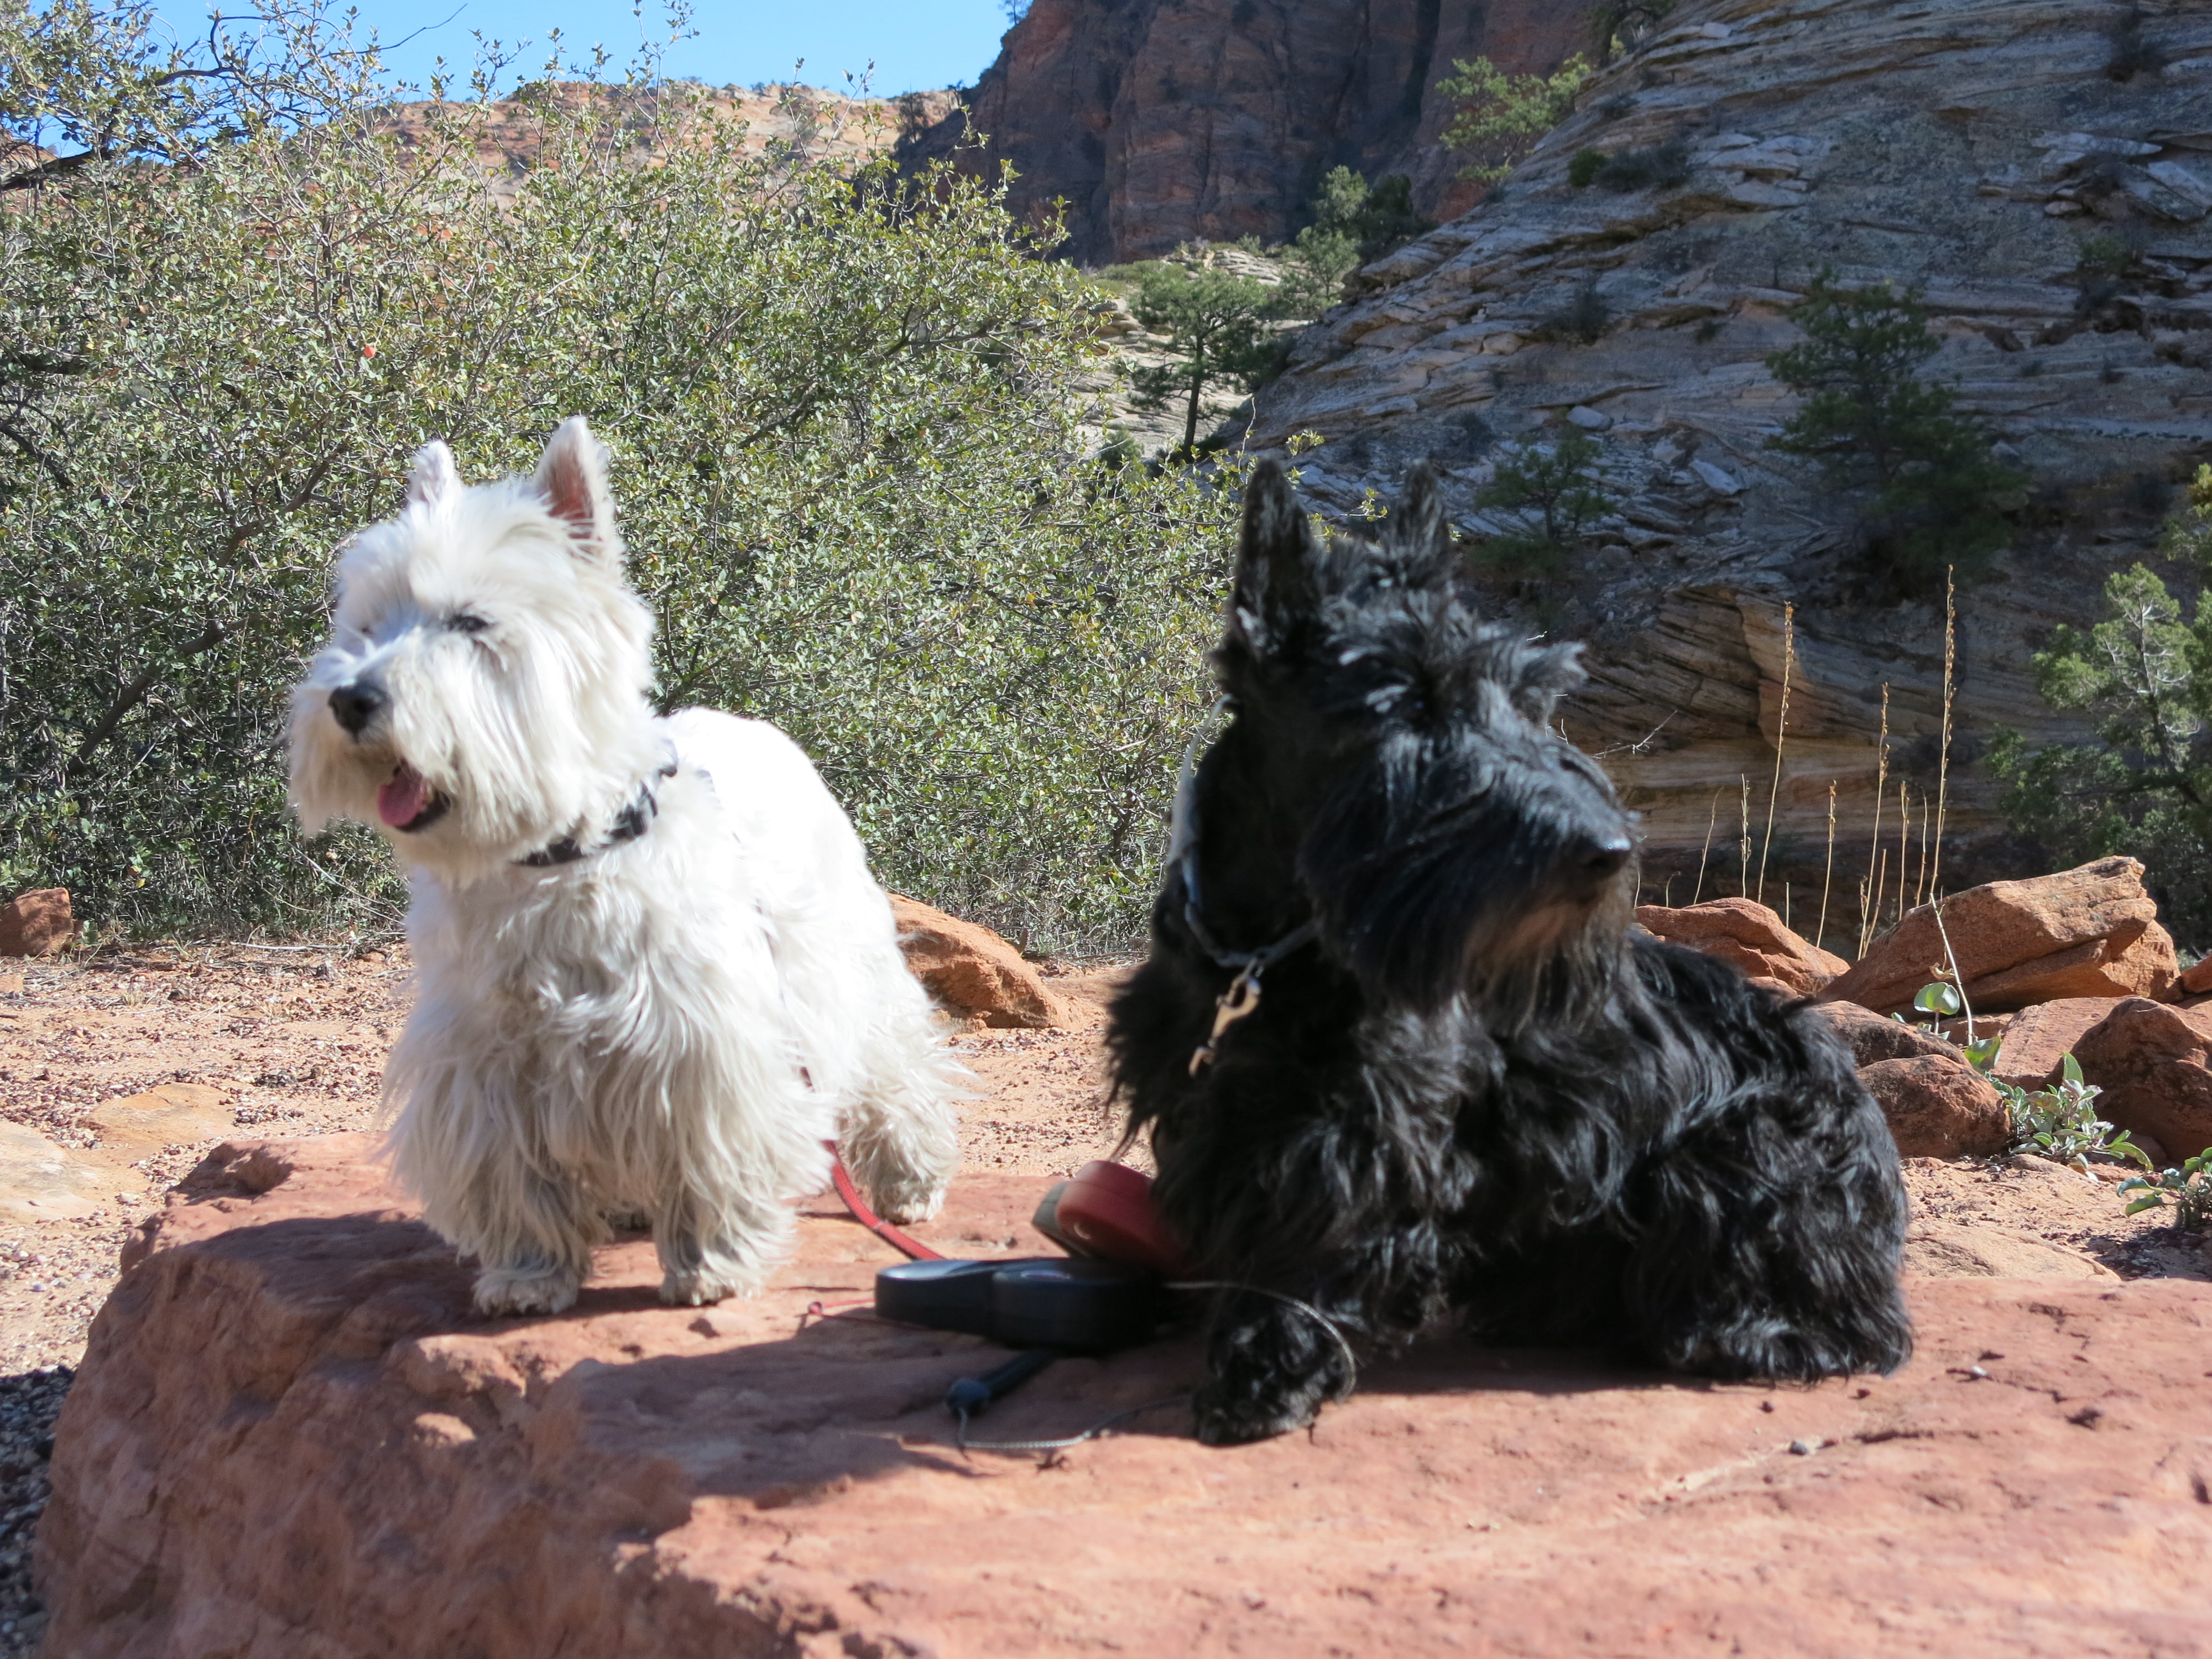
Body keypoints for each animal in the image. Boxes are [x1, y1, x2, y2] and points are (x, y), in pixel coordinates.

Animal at [288, 418, 962, 1316]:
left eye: (472, 621)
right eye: (365, 626)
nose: (351, 700)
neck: (555, 856)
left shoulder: (702, 1045)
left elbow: (711, 1153)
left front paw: (712, 1267)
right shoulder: (487, 1061)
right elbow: (513, 1176)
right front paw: (527, 1276)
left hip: (854, 963)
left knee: (897, 1064)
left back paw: (908, 1183)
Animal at [1108, 460, 1911, 1445]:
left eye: (1529, 699)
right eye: (1408, 699)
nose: (1607, 851)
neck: (1265, 954)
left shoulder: (1365, 1136)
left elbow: (1314, 1243)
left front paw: (1262, 1374)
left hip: (1743, 1164)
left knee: (1832, 1319)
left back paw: (1744, 1333)